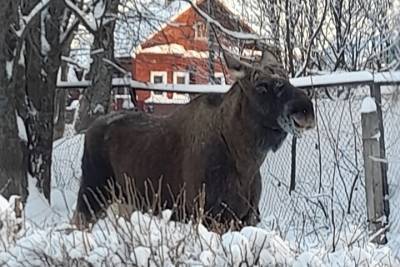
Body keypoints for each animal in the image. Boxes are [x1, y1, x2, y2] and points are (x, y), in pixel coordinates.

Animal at [72, 51, 316, 229]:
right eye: (262, 85)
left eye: (286, 77)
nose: (305, 109)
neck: (245, 160)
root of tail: (90, 129)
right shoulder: (207, 215)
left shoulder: (246, 217)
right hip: (91, 195)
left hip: (125, 202)